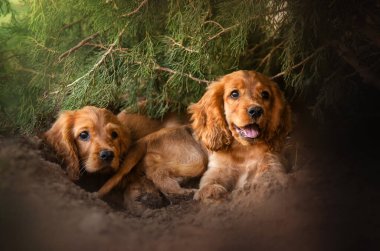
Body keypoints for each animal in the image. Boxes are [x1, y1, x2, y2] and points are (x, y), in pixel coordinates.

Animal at [189, 69, 290, 203]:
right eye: (234, 94)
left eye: (265, 94)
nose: (256, 111)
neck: (244, 149)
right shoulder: (218, 168)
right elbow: (210, 180)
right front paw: (211, 191)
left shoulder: (272, 161)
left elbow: (269, 176)